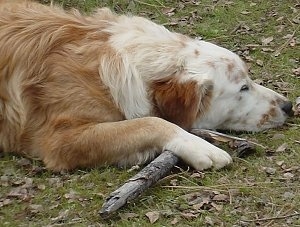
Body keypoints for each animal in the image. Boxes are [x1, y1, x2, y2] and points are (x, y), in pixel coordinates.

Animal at [0, 0, 292, 172]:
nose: (289, 106)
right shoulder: (59, 139)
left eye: (249, 80)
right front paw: (200, 147)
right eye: (243, 88)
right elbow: (151, 122)